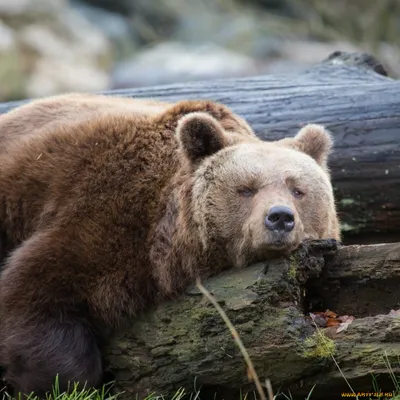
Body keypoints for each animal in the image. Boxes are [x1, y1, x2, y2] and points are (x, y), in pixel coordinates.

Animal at [0, 93, 340, 396]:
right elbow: (36, 288)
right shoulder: (105, 212)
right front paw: (55, 382)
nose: (280, 218)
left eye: (297, 189)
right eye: (246, 189)